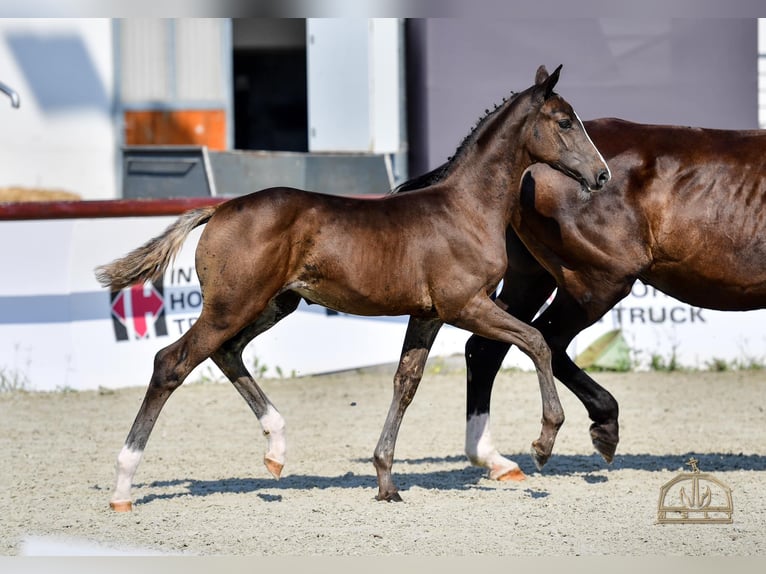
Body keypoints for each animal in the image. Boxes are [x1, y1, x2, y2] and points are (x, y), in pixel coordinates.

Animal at [97, 65, 612, 510]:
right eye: (565, 121)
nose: (602, 175)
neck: (465, 208)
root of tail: (219, 209)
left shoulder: (428, 315)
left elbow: (406, 383)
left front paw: (385, 481)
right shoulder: (466, 305)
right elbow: (536, 341)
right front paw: (544, 441)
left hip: (274, 303)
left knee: (227, 353)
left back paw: (276, 450)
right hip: (233, 305)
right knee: (172, 363)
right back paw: (123, 486)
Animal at [448, 118, 766, 482]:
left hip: (531, 278)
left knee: (486, 348)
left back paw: (494, 460)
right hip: (598, 282)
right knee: (547, 340)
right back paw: (599, 427)